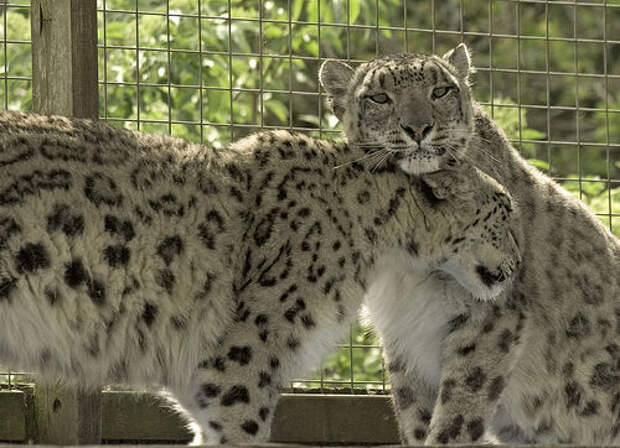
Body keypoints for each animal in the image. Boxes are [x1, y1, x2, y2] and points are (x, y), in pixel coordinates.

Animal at [320, 43, 620, 444]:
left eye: (440, 90)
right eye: (379, 97)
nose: (419, 128)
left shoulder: (489, 319)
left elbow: (458, 410)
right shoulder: (401, 335)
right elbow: (415, 413)